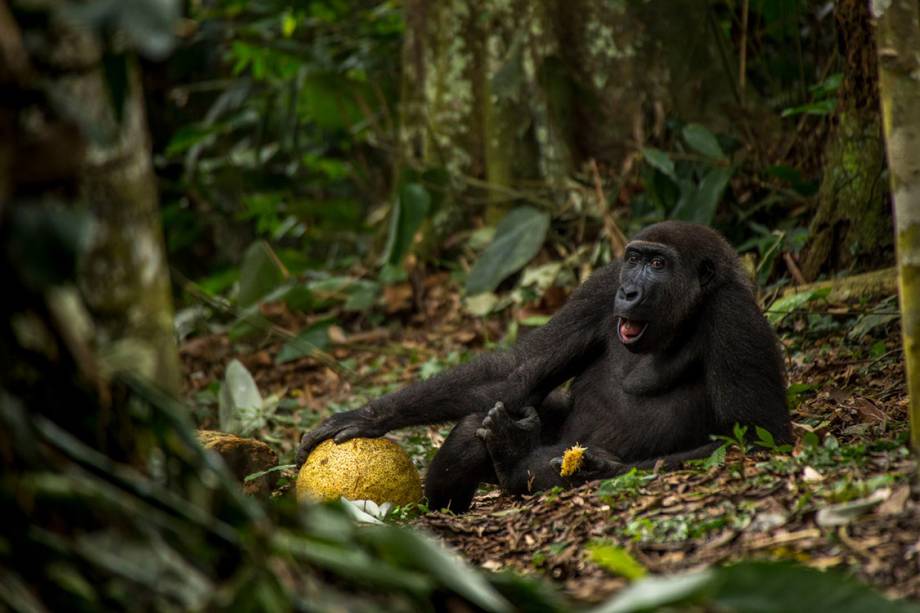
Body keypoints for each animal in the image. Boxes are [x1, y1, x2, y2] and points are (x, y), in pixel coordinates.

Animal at [296, 220, 792, 512]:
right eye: (634, 259)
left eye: (658, 263)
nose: (630, 291)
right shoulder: (601, 285)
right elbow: (518, 370)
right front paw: (369, 416)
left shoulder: (734, 316)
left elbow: (756, 437)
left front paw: (600, 467)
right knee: (482, 416)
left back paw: (515, 460)